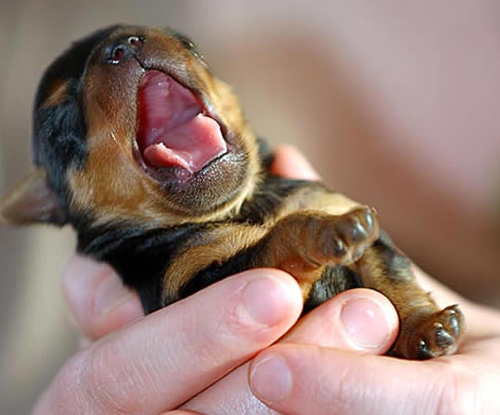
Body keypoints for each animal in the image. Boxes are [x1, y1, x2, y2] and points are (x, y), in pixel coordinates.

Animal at [0, 24, 464, 360]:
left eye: (189, 44)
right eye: (62, 121)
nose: (121, 44)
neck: (243, 208)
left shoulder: (328, 203)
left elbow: (392, 272)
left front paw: (427, 327)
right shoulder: (196, 280)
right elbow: (280, 238)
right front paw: (327, 232)